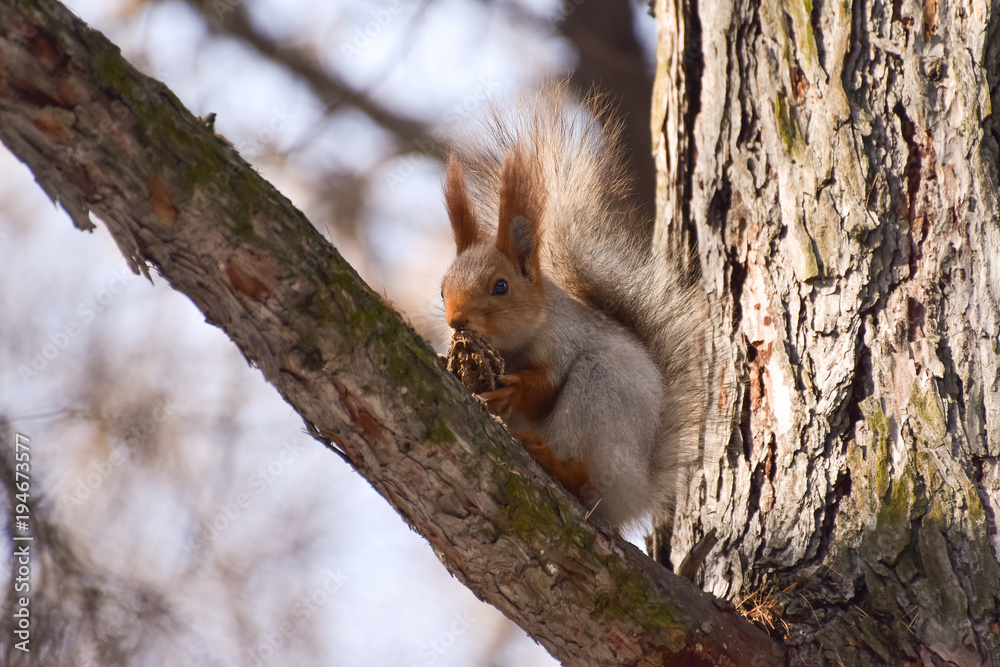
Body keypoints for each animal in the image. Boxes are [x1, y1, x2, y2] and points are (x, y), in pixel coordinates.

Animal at [442, 86, 708, 532]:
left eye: (501, 286)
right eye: (442, 288)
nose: (456, 321)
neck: (513, 344)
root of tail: (638, 495)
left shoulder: (565, 339)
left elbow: (545, 388)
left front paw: (515, 389)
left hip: (601, 397)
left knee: (588, 480)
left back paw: (556, 464)